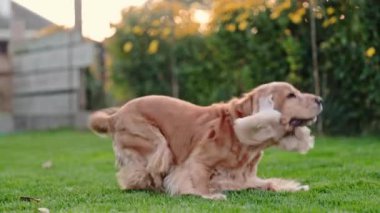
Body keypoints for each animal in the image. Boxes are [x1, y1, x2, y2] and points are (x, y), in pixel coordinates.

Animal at [90, 81, 324, 200]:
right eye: (291, 95)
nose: (320, 99)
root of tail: (115, 115)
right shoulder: (197, 163)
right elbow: (198, 181)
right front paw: (209, 196)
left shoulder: (243, 176)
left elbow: (268, 184)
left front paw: (294, 187)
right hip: (156, 142)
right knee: (146, 170)